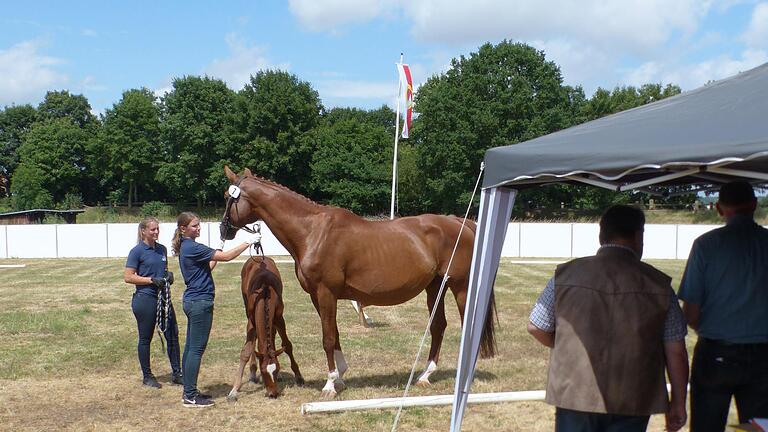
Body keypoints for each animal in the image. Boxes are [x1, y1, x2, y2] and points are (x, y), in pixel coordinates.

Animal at [225, 255, 304, 400]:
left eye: (277, 369)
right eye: (263, 371)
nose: (273, 394)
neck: (265, 293)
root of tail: (257, 256)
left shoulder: (279, 318)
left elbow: (287, 345)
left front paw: (299, 377)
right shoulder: (251, 321)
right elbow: (247, 350)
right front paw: (234, 391)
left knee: (271, 335)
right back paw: (252, 373)